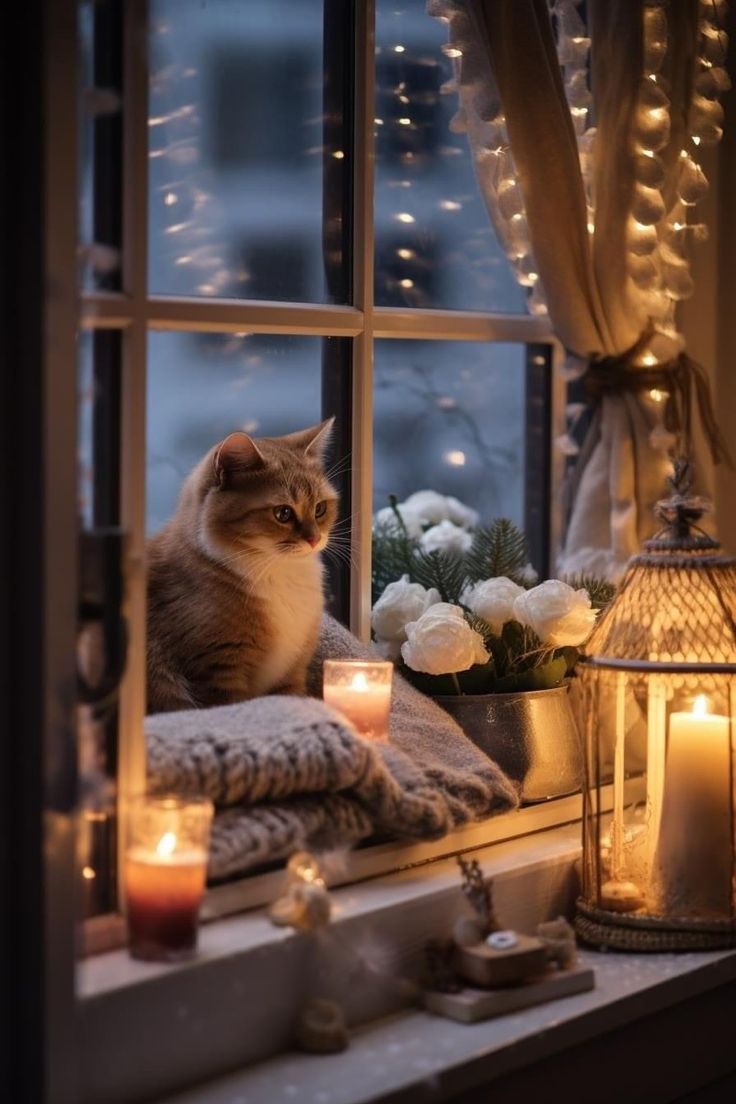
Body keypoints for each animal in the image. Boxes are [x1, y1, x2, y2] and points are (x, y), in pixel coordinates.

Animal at [145, 415, 339, 715]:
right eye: (283, 513)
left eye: (320, 509)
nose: (314, 538)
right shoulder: (218, 671)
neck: (279, 573)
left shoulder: (292, 673)